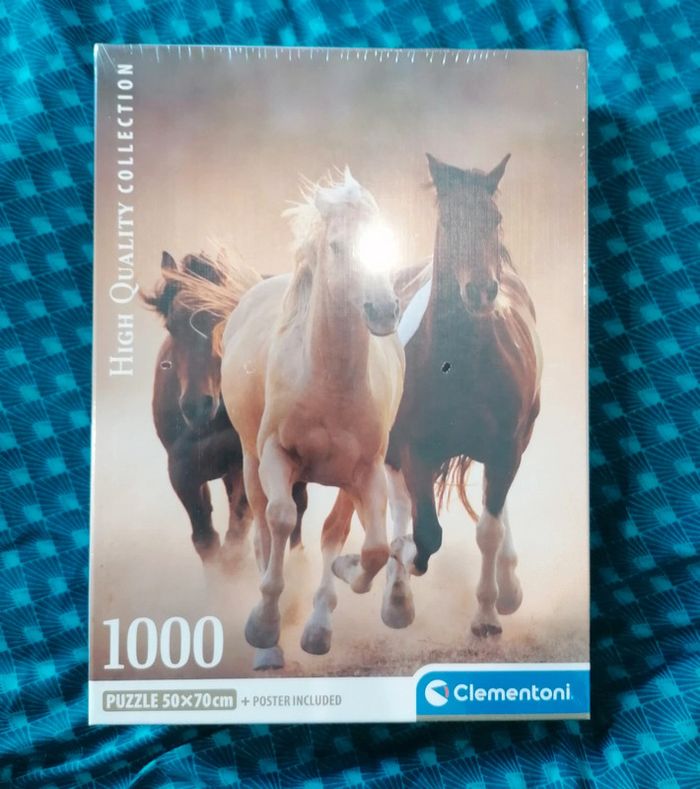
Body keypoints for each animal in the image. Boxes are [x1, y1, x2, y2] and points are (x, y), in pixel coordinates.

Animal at [143, 250, 308, 570]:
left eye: (223, 320)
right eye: (171, 327)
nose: (197, 405)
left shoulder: (244, 465)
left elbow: (236, 539)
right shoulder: (181, 471)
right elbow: (206, 540)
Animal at [220, 169, 405, 669]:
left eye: (386, 241)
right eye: (338, 246)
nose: (383, 310)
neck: (328, 382)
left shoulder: (366, 472)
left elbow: (369, 547)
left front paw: (335, 596)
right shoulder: (276, 455)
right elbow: (281, 520)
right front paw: (263, 626)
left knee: (331, 533)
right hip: (250, 461)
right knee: (264, 529)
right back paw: (268, 644)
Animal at [329, 154, 542, 639]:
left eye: (494, 219)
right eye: (448, 222)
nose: (481, 291)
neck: (459, 364)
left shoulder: (506, 449)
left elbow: (488, 529)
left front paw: (487, 614)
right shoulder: (414, 450)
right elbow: (425, 532)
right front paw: (395, 570)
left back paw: (507, 588)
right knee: (402, 507)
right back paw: (396, 598)